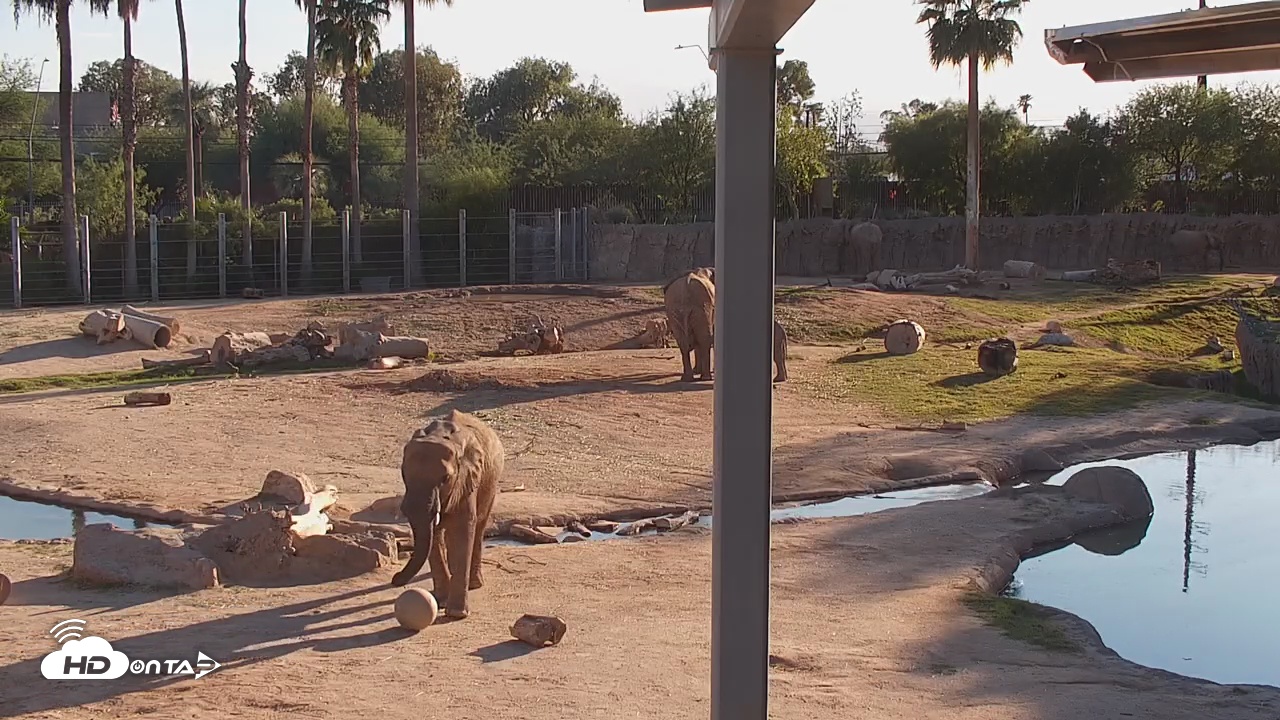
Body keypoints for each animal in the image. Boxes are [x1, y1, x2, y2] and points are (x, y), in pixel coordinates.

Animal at [391, 409, 503, 620]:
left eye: (445, 479)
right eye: (403, 474)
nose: (395, 579)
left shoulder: (466, 480)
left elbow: (461, 530)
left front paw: (456, 614)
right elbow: (433, 535)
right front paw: (441, 602)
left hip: (491, 484)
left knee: (479, 526)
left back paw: (474, 583)